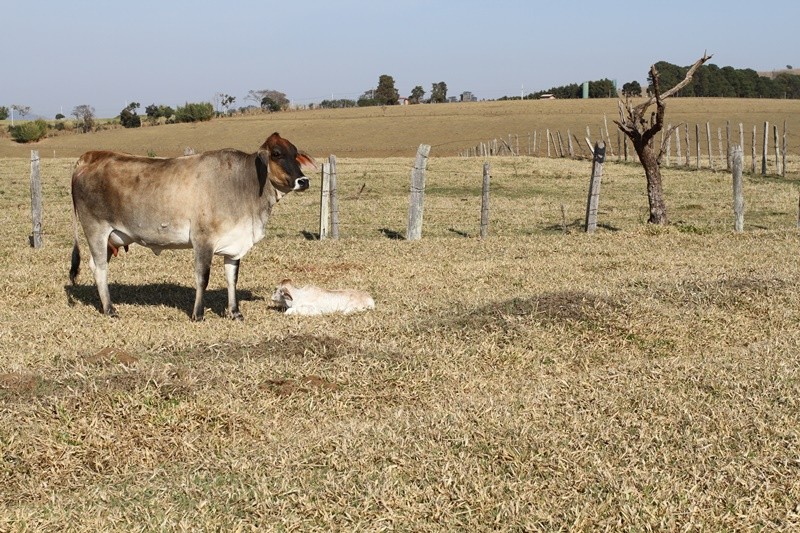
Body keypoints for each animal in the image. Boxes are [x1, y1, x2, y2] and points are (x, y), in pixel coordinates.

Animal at [69, 131, 312, 320]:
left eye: (295, 153)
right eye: (277, 154)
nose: (304, 181)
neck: (243, 184)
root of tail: (92, 156)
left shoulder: (234, 245)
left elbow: (232, 278)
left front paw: (235, 312)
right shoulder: (203, 241)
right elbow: (202, 277)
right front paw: (198, 313)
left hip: (111, 238)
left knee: (96, 266)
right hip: (96, 230)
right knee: (100, 268)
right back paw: (110, 309)